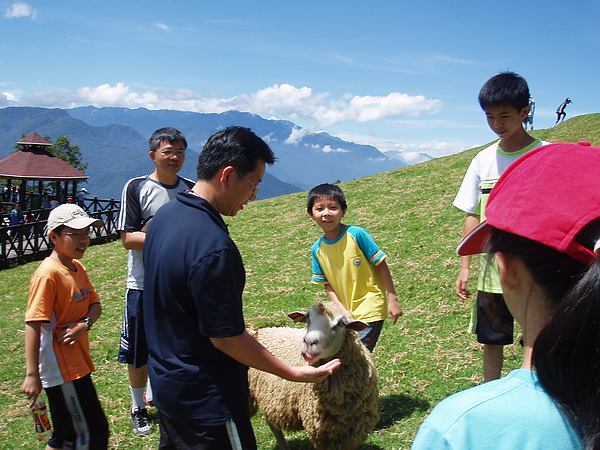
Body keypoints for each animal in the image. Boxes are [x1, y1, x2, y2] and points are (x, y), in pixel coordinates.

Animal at [248, 302, 380, 450]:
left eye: (341, 323)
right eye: (307, 317)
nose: (309, 342)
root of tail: (262, 331)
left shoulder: (354, 429)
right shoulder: (321, 431)